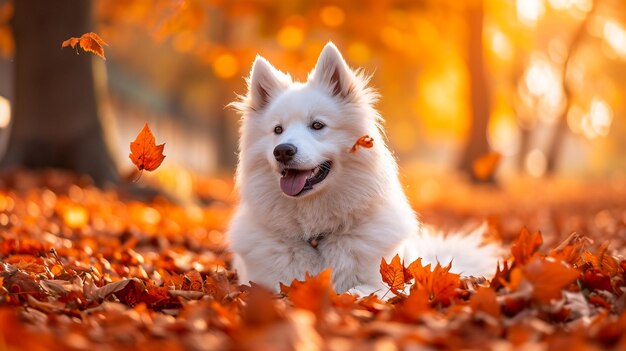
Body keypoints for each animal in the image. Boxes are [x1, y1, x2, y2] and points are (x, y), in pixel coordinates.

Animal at [227, 43, 500, 296]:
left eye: (317, 125)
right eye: (277, 130)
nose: (282, 151)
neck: (316, 236)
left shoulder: (384, 283)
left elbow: (362, 291)